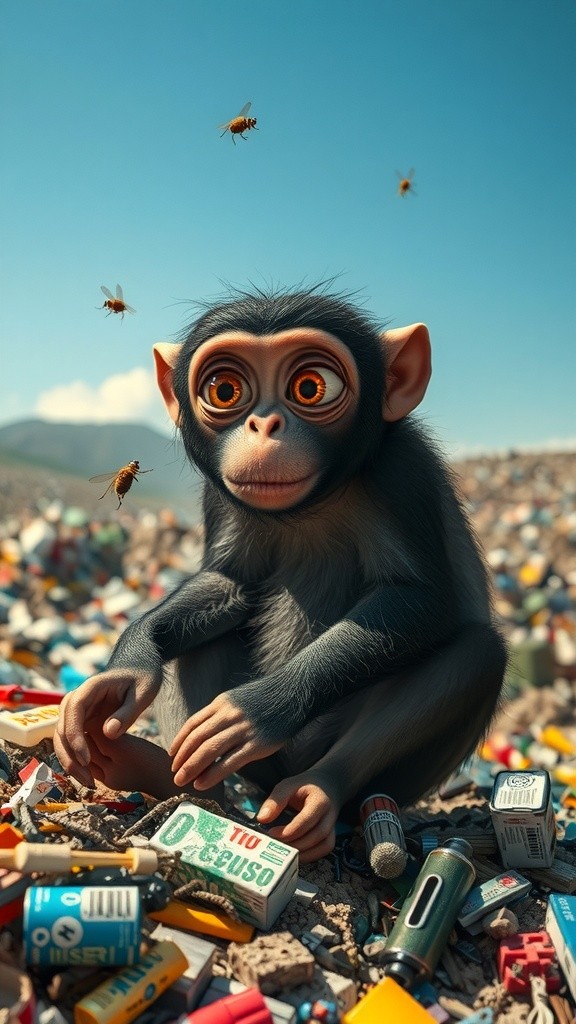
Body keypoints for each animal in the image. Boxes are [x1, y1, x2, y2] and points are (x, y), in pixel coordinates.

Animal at [54, 285, 507, 863]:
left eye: (311, 388)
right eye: (225, 390)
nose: (264, 424)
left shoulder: (404, 470)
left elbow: (420, 599)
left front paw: (258, 709)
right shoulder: (218, 493)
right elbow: (230, 583)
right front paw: (125, 669)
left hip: (358, 769)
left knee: (476, 657)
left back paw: (317, 793)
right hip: (252, 770)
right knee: (195, 641)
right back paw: (169, 779)